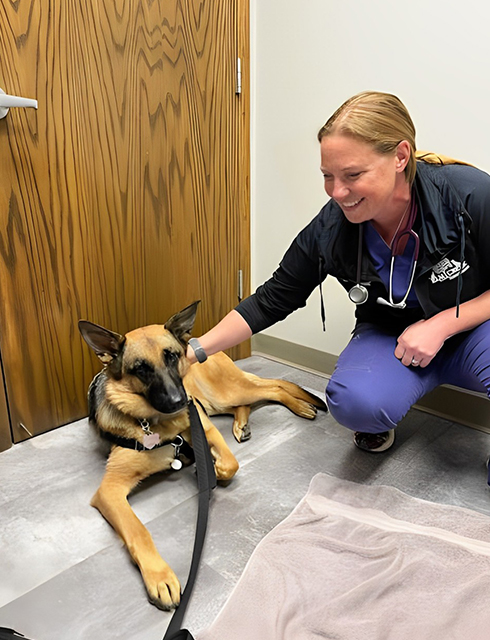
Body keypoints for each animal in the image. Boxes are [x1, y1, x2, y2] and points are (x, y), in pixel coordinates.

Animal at [78, 300, 328, 608]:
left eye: (171, 357)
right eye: (140, 369)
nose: (178, 402)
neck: (159, 424)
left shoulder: (203, 425)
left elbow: (232, 463)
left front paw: (214, 470)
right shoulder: (110, 490)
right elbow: (138, 529)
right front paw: (160, 577)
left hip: (225, 394)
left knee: (274, 386)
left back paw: (300, 405)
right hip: (216, 402)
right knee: (253, 399)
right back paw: (244, 423)